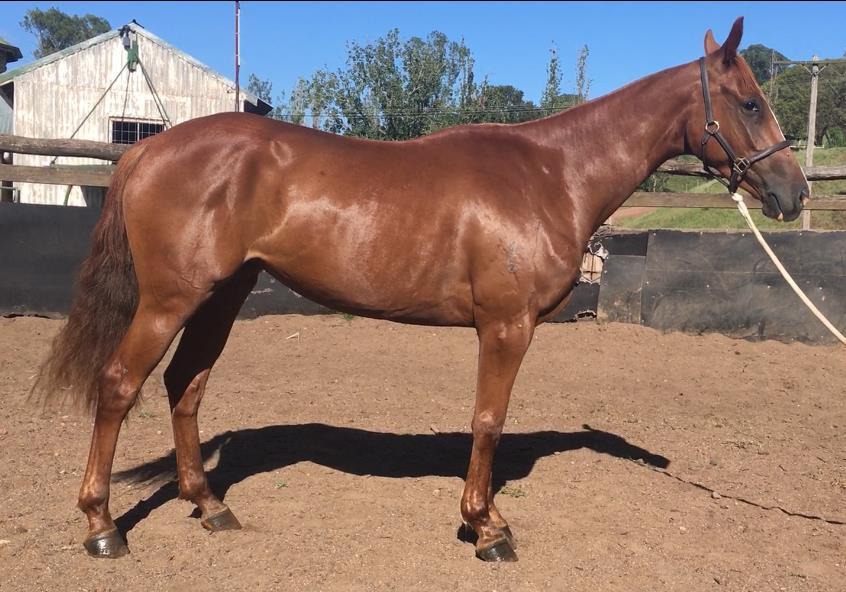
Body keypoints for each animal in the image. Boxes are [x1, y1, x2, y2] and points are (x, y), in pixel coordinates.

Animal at [35, 17, 808, 562]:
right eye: (749, 103)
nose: (793, 193)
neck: (551, 173)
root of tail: (146, 148)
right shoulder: (506, 326)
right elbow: (488, 421)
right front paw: (486, 528)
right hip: (170, 300)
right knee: (120, 385)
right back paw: (103, 527)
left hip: (221, 296)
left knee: (185, 386)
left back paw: (210, 506)